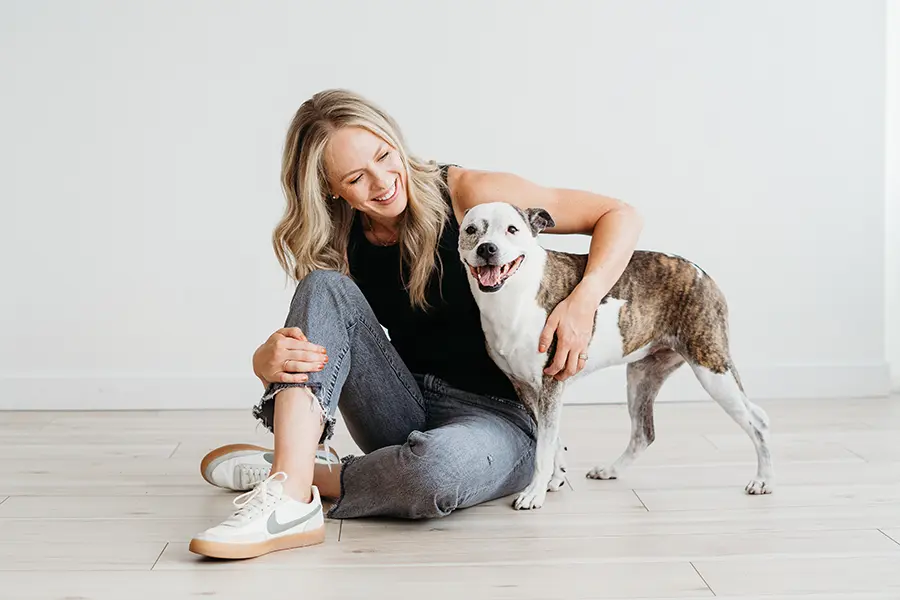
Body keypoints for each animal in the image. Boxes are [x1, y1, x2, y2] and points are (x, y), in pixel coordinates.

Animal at [458, 203, 772, 510]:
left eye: (512, 229)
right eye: (471, 230)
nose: (487, 248)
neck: (514, 295)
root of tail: (700, 271)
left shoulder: (551, 384)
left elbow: (543, 449)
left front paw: (534, 494)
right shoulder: (526, 389)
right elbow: (553, 439)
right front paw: (556, 478)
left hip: (712, 367)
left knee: (757, 420)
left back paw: (763, 480)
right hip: (642, 376)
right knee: (645, 433)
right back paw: (610, 470)